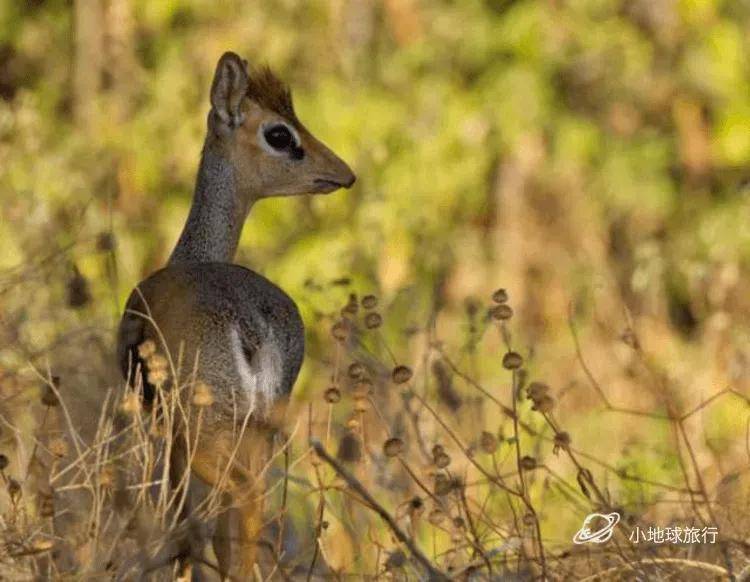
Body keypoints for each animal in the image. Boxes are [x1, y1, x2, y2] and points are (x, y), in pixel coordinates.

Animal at [117, 52, 356, 580]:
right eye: (281, 133)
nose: (345, 173)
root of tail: (250, 326)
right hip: (259, 432)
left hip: (206, 433)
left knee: (235, 505)